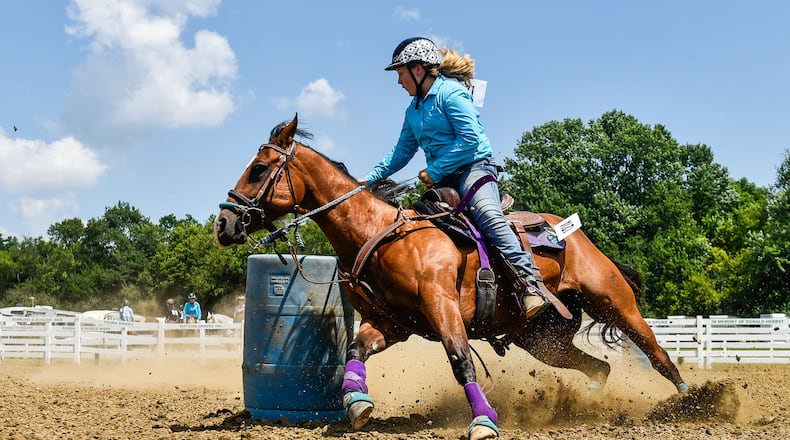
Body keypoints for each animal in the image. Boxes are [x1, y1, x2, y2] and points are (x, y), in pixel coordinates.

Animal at [214, 116, 688, 439]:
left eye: (259, 169)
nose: (223, 223)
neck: (380, 234)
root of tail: (574, 235)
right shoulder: (392, 323)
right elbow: (356, 350)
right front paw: (356, 401)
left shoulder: (442, 308)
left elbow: (461, 360)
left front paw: (484, 422)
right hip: (541, 339)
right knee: (600, 366)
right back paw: (584, 406)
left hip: (613, 301)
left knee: (657, 353)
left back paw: (688, 402)